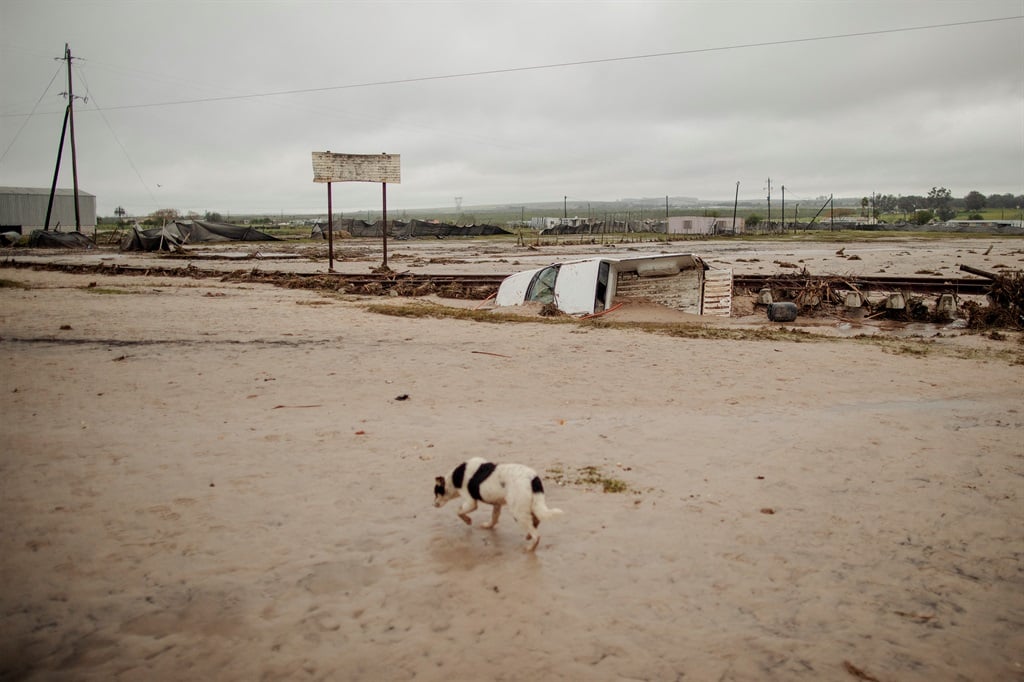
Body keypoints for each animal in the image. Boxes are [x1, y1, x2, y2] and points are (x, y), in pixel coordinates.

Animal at [430, 456, 561, 548]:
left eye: (436, 492)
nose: (433, 504)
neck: (454, 478)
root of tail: (533, 479)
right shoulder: (497, 504)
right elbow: (494, 517)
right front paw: (488, 526)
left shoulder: (471, 502)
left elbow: (459, 511)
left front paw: (468, 520)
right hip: (532, 505)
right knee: (536, 520)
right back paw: (529, 536)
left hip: (518, 512)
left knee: (536, 534)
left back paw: (530, 548)